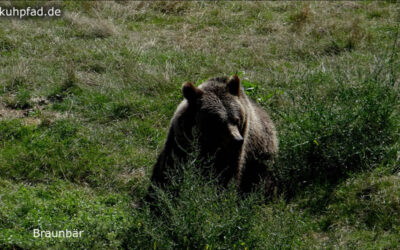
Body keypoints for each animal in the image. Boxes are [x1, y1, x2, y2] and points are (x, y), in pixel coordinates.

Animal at [147, 74, 278, 199]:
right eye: (218, 122)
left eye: (236, 119)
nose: (237, 140)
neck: (209, 144)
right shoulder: (181, 140)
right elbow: (171, 167)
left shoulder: (237, 149)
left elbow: (228, 171)